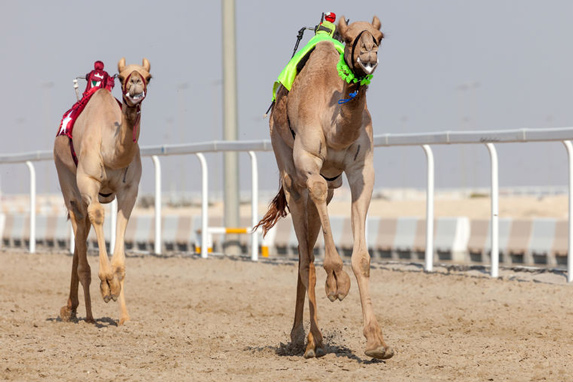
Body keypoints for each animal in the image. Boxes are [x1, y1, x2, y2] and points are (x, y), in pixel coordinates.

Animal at [52, 57, 151, 326]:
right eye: (121, 76)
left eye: (149, 76)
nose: (136, 83)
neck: (111, 151)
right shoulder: (88, 181)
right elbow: (98, 217)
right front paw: (106, 285)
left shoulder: (129, 190)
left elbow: (121, 226)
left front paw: (121, 308)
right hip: (68, 184)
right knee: (80, 222)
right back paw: (85, 315)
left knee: (82, 230)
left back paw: (74, 308)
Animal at [256, 15, 394, 362]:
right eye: (349, 38)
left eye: (380, 37)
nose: (368, 56)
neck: (337, 128)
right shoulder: (308, 164)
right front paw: (337, 283)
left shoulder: (361, 172)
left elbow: (362, 259)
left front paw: (377, 342)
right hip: (290, 176)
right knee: (305, 255)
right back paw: (308, 339)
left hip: (329, 187)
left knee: (307, 247)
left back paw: (307, 338)